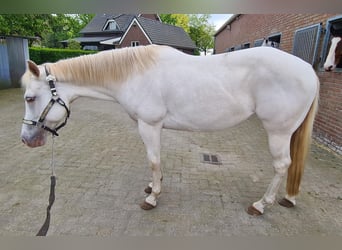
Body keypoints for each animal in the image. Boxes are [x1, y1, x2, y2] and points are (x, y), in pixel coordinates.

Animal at [21, 44, 320, 215]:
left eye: (30, 98)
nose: (26, 139)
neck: (133, 73)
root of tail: (309, 70)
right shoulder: (150, 127)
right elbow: (155, 161)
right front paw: (154, 186)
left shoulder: (149, 125)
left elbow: (153, 160)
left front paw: (152, 198)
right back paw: (287, 198)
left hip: (278, 132)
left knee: (281, 165)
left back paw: (261, 204)